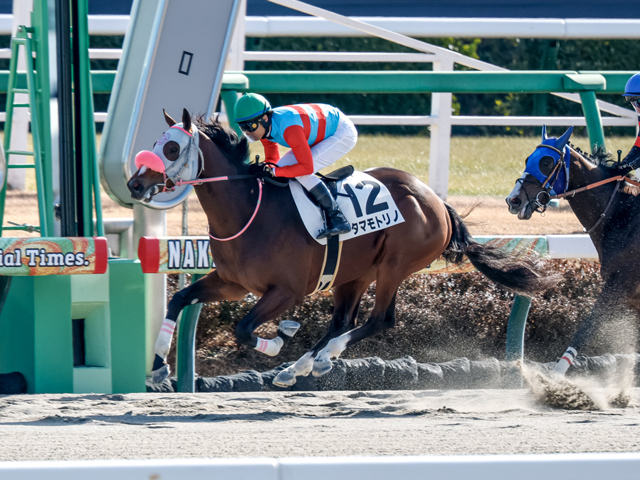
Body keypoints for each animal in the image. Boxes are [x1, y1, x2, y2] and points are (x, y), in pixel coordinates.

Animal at [129, 109, 556, 386]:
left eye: (170, 149)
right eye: (155, 143)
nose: (135, 183)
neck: (249, 208)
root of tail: (435, 199)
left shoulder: (286, 291)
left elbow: (244, 329)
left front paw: (279, 338)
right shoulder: (232, 283)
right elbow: (179, 299)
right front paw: (158, 367)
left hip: (394, 265)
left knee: (380, 319)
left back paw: (316, 360)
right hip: (355, 272)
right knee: (343, 321)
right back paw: (302, 367)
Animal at [504, 126, 640, 376]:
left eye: (546, 162)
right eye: (528, 159)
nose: (513, 200)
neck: (622, 215)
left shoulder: (621, 284)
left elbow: (586, 329)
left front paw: (554, 378)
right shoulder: (630, 298)